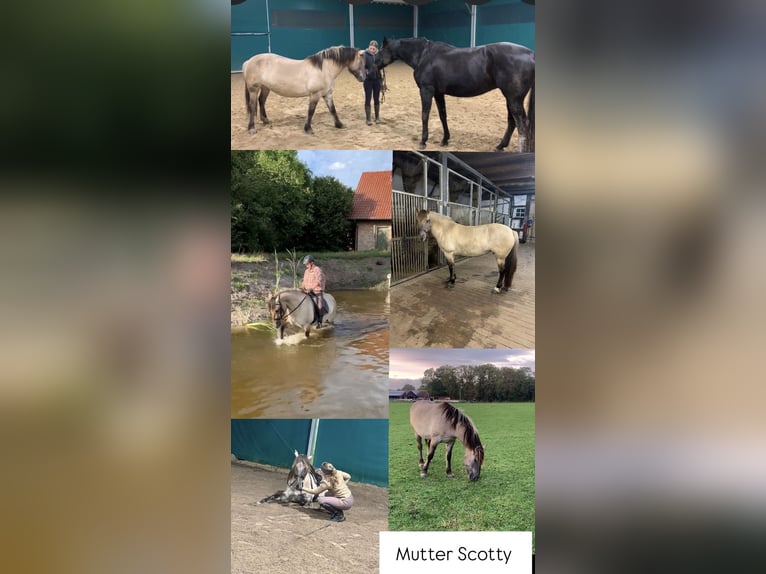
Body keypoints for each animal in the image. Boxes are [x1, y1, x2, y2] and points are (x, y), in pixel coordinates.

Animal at [376, 36, 536, 152]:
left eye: (381, 50)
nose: (373, 64)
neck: (424, 55)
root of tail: (531, 54)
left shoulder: (426, 90)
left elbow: (425, 115)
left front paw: (423, 141)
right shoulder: (438, 93)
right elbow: (442, 115)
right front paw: (445, 140)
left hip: (514, 98)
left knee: (522, 125)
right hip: (510, 98)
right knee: (512, 122)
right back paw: (500, 146)